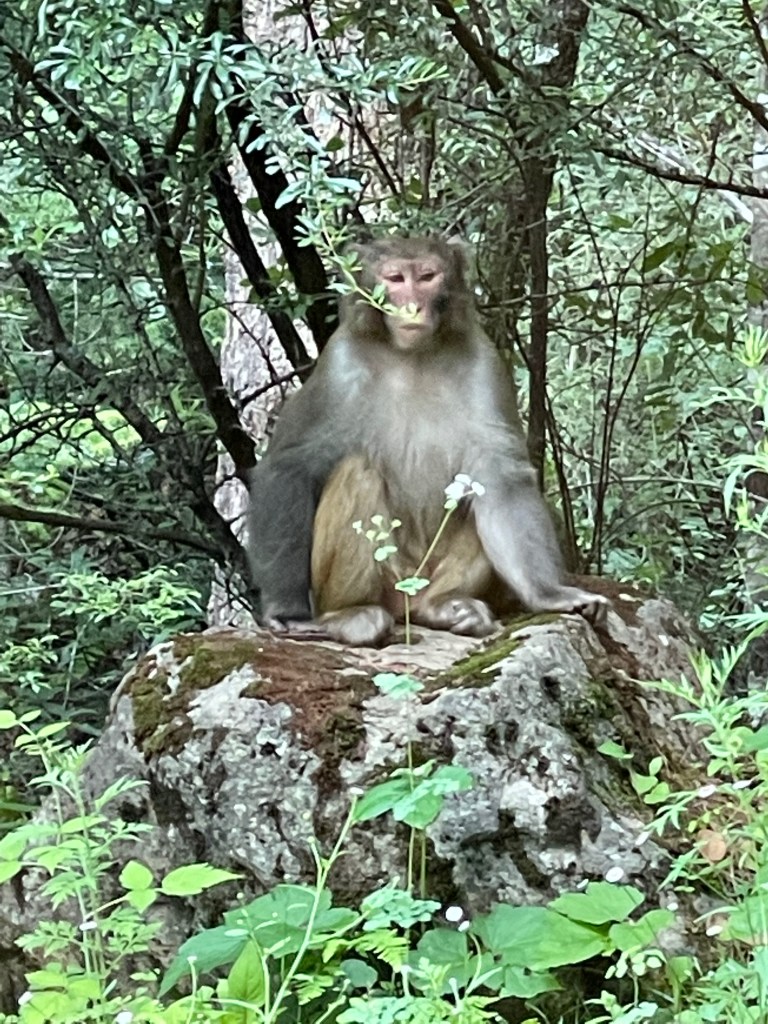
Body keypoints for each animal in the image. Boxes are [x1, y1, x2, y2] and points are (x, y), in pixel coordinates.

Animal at [248, 236, 609, 646]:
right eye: (395, 279)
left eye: (426, 277)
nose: (411, 306)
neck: (412, 356)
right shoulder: (338, 364)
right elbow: (290, 465)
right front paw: (287, 611)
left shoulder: (484, 362)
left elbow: (500, 478)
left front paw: (549, 594)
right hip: (387, 580)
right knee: (359, 471)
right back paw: (351, 615)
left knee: (472, 490)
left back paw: (443, 607)